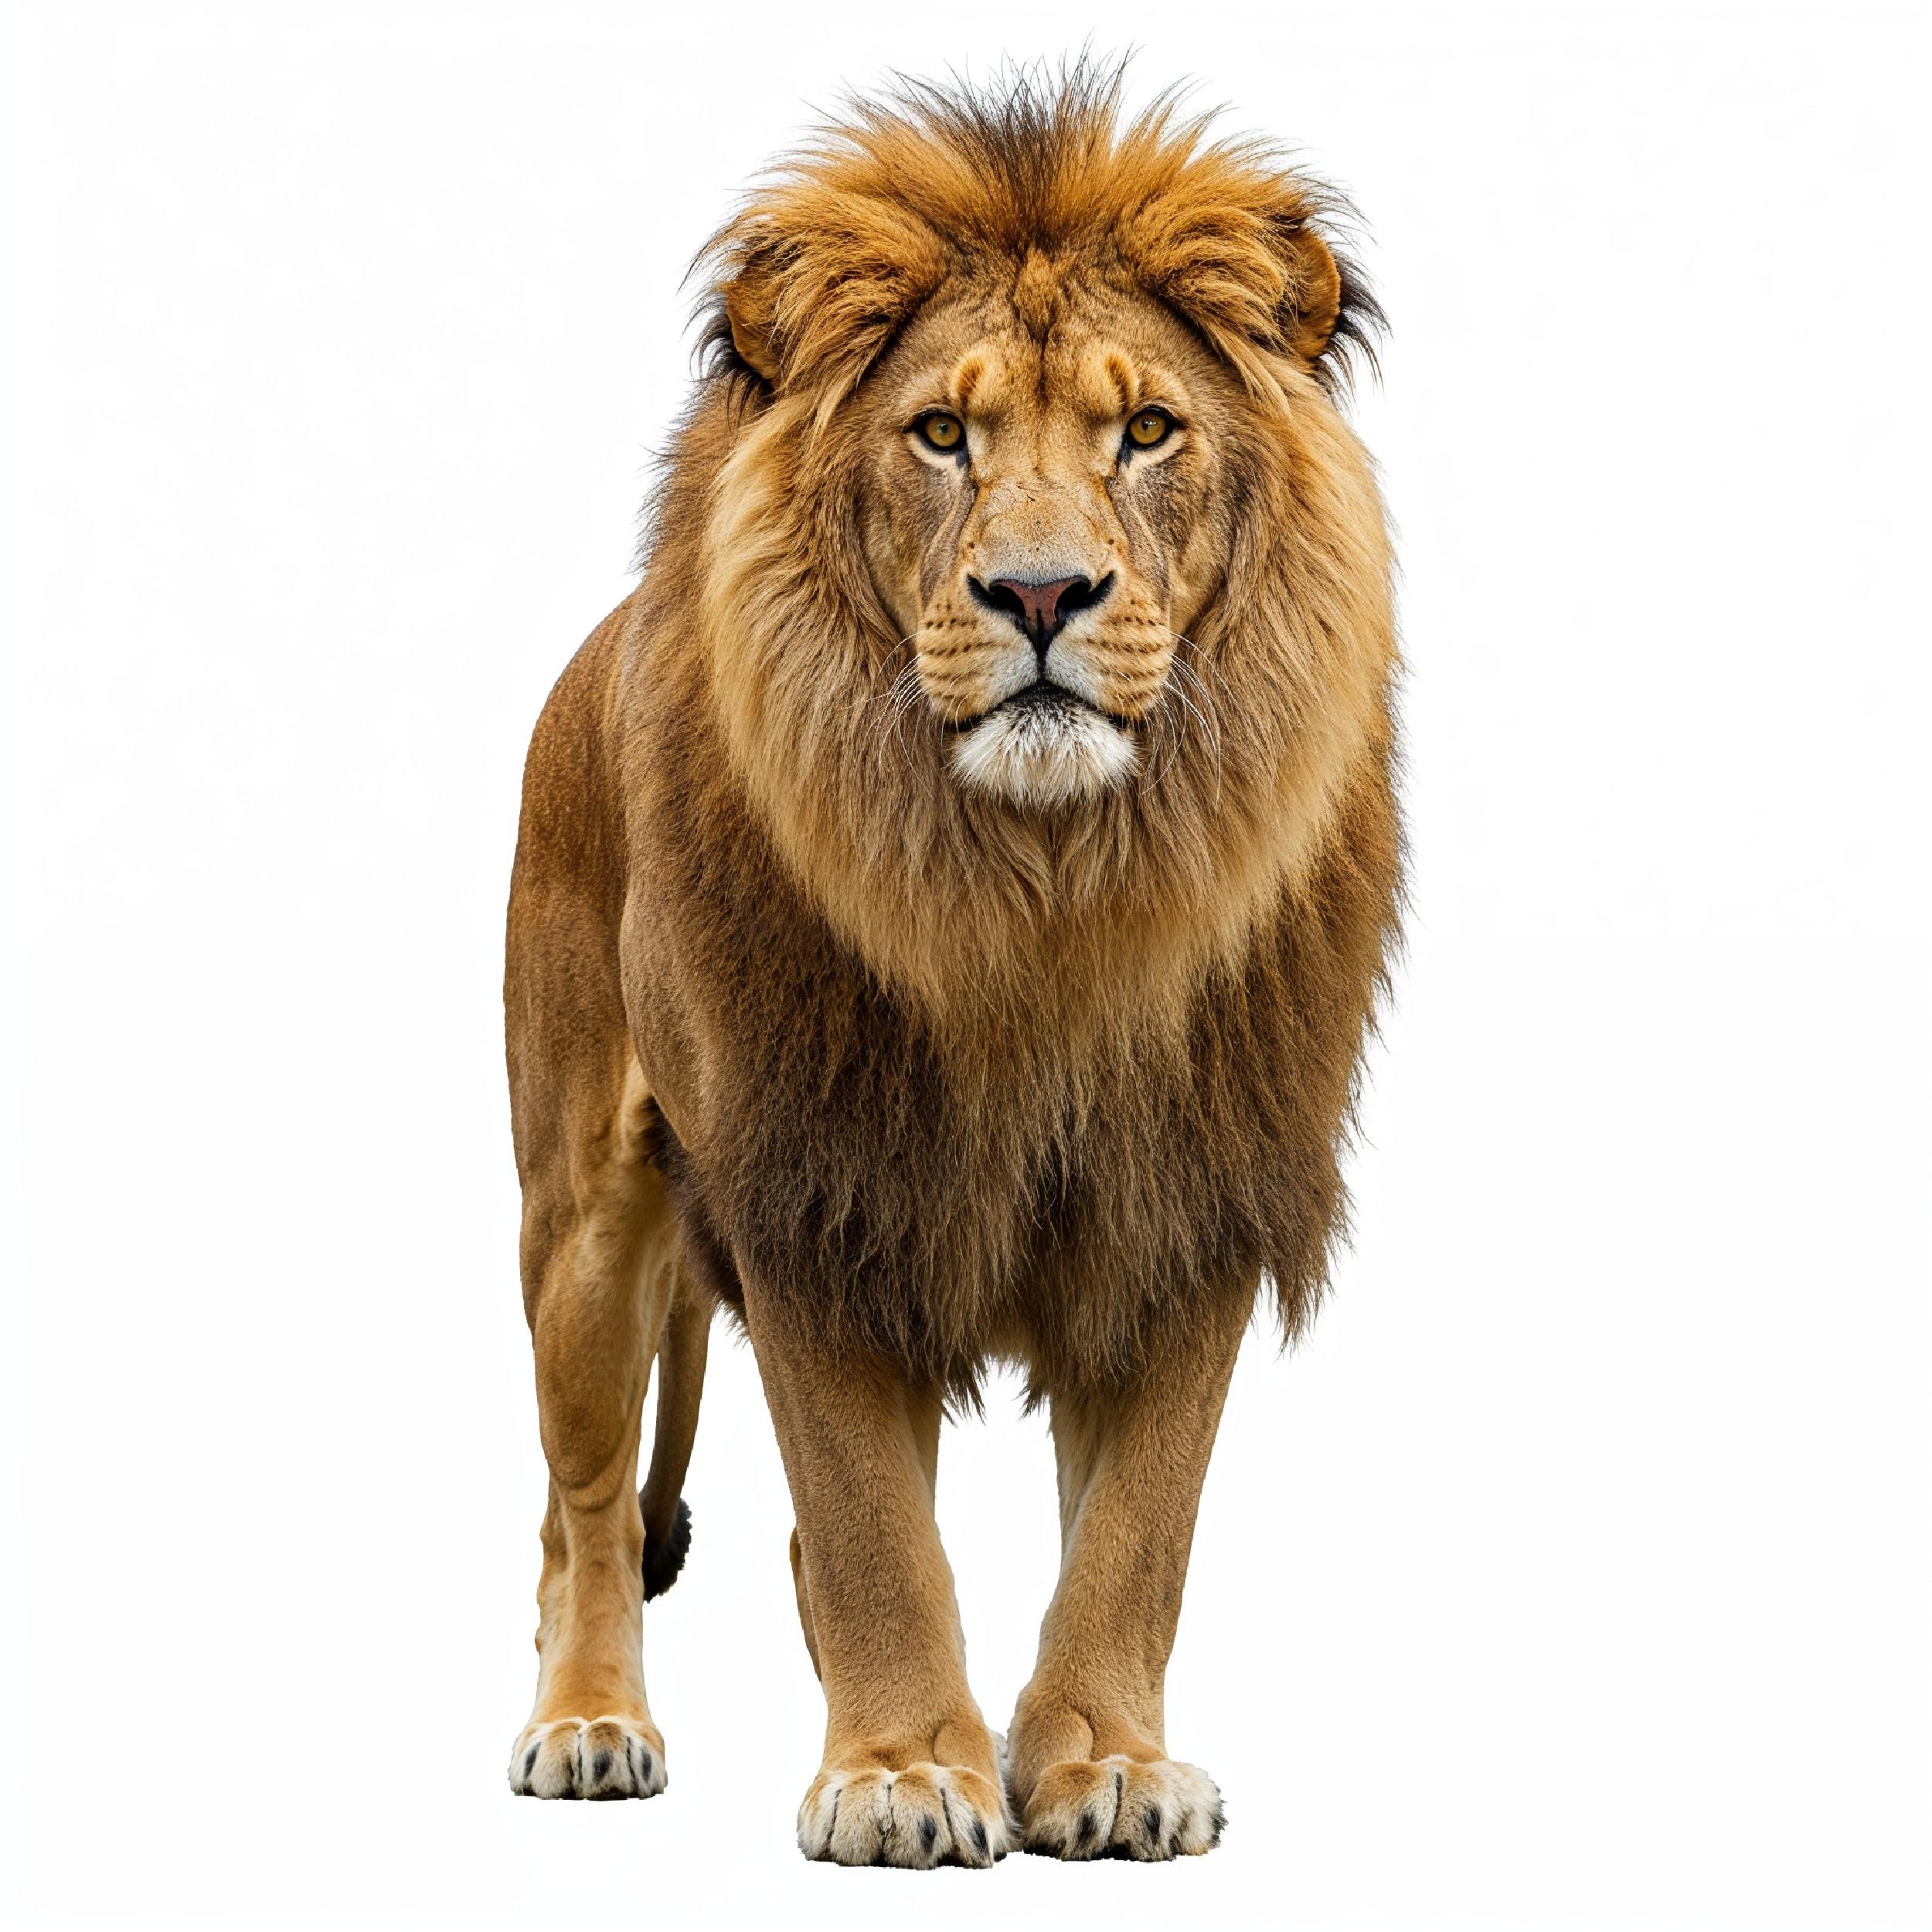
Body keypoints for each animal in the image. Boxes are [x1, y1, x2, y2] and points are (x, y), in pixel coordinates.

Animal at [503, 65, 1401, 1866]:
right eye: (940, 435)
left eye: (1146, 431)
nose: (1041, 591)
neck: (1040, 892)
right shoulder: (816, 1189)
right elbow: (867, 1525)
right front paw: (907, 1771)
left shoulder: (1191, 1192)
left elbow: (1135, 1530)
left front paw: (1100, 1759)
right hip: (578, 1216)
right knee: (583, 1510)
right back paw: (587, 1720)